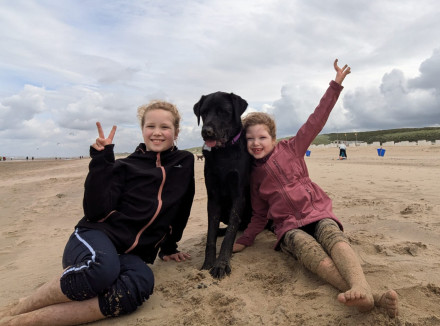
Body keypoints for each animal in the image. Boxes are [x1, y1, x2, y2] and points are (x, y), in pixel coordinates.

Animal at [192, 90, 251, 278]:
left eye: (224, 112)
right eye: (203, 112)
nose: (206, 132)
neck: (225, 153)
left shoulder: (239, 197)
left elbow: (231, 232)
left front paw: (221, 264)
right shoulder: (213, 198)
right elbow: (211, 235)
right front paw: (208, 263)